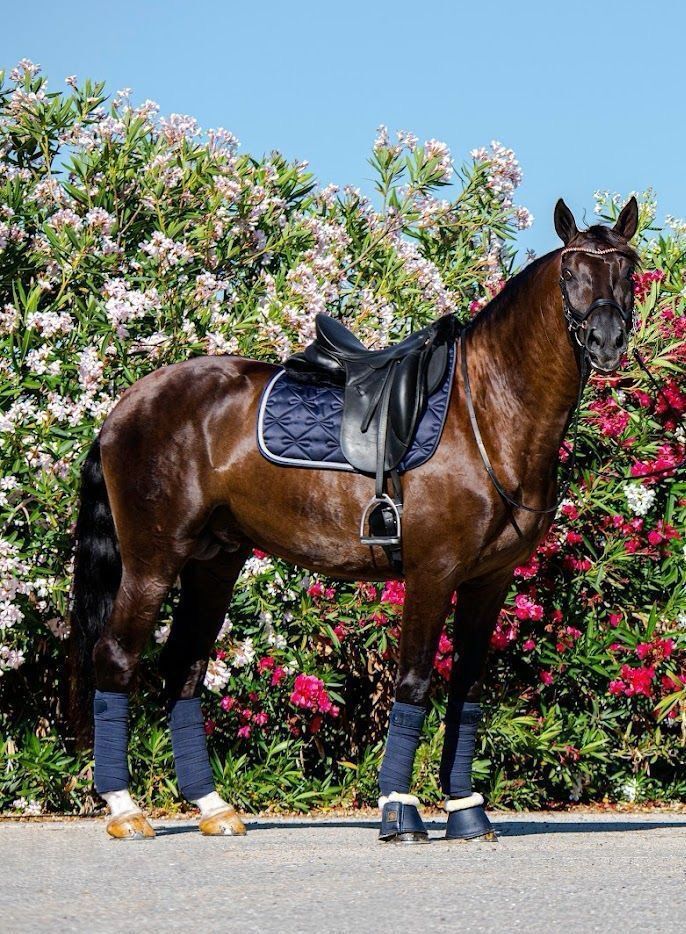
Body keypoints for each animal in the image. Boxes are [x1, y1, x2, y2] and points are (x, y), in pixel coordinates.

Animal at [67, 196, 640, 841]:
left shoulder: (488, 582)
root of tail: (125, 407)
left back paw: (213, 809)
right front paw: (400, 809)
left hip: (213, 563)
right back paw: (125, 809)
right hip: (152, 560)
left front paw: (466, 810)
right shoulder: (433, 573)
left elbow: (467, 687)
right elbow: (414, 681)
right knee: (116, 657)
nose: (608, 341)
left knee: (182, 670)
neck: (488, 413)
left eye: (630, 269)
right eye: (571, 272)